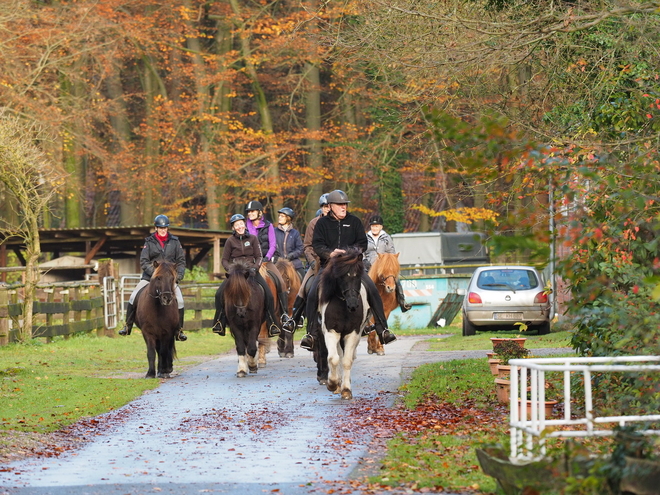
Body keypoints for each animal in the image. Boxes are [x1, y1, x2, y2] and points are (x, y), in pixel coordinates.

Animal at [316, 247, 372, 400]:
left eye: (358, 277)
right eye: (341, 277)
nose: (353, 305)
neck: (343, 307)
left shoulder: (352, 334)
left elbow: (347, 361)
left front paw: (346, 390)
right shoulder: (331, 332)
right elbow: (333, 358)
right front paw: (332, 384)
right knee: (337, 355)